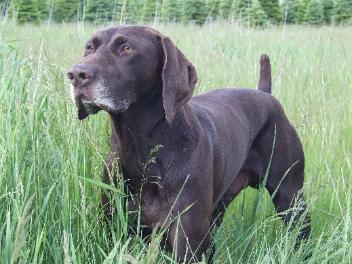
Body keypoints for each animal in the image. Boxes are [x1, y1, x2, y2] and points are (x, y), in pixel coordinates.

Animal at [67, 25, 310, 262]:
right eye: (89, 48)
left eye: (126, 48)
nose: (75, 75)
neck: (144, 153)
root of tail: (266, 95)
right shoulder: (111, 226)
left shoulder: (186, 240)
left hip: (291, 198)